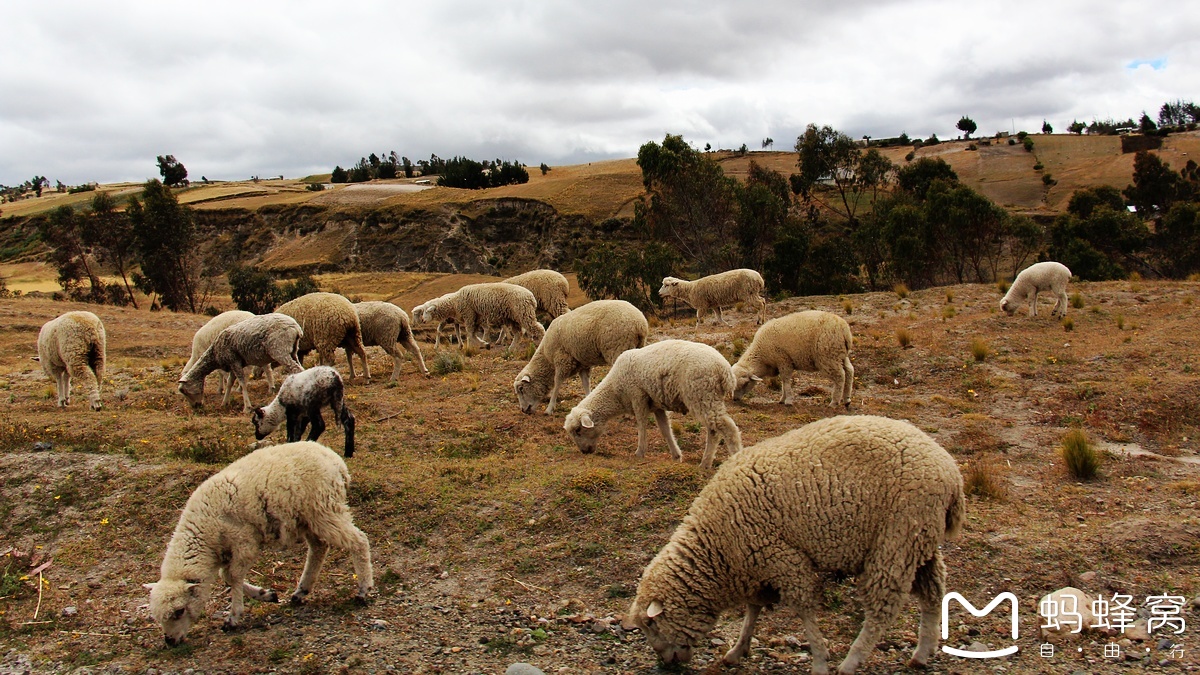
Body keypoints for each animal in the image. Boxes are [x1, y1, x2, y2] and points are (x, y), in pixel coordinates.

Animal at [143, 439, 372, 643]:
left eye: (179, 611)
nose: (170, 641)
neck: (206, 535)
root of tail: (336, 462)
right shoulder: (226, 550)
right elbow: (226, 577)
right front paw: (266, 594)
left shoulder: (243, 541)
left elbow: (232, 576)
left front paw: (233, 617)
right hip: (307, 518)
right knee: (319, 548)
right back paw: (301, 591)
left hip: (324, 508)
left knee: (358, 541)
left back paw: (364, 590)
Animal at [513, 297, 648, 413]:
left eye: (521, 389)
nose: (523, 410)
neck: (547, 359)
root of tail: (639, 323)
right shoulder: (583, 365)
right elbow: (585, 384)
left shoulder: (562, 360)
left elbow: (557, 384)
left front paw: (549, 409)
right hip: (636, 347)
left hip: (617, 348)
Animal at [561, 336, 739, 468]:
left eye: (578, 430)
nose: (584, 452)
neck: (615, 391)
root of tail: (725, 371)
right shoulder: (657, 405)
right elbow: (665, 430)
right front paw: (676, 455)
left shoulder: (638, 397)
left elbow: (641, 425)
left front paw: (640, 452)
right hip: (708, 397)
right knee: (714, 430)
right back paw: (706, 463)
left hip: (701, 394)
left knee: (727, 428)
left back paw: (734, 457)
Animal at [619, 413, 964, 667]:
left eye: (651, 626)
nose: (666, 664)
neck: (717, 548)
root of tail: (951, 472)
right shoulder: (757, 565)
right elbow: (753, 610)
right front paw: (737, 650)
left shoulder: (783, 559)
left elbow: (804, 612)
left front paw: (820, 660)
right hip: (919, 540)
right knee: (933, 593)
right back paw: (923, 652)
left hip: (896, 538)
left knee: (883, 609)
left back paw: (851, 661)